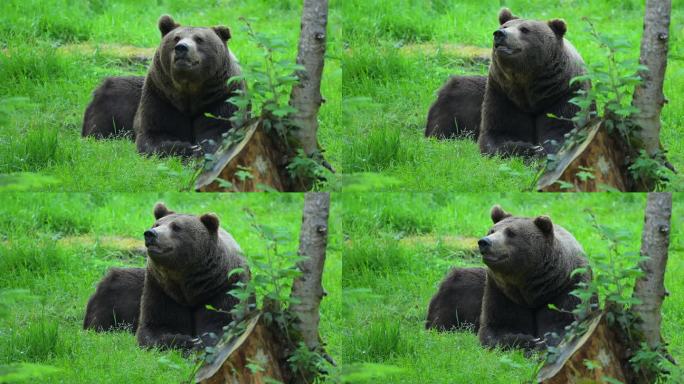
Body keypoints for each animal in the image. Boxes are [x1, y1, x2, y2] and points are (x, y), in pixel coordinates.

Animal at [135, 204, 250, 352]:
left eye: (176, 227)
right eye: (156, 224)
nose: (151, 233)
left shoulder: (225, 288)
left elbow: (221, 325)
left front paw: (198, 343)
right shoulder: (161, 289)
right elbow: (153, 327)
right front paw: (186, 341)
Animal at [476, 9, 588, 158]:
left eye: (524, 29)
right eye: (505, 26)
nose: (499, 34)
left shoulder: (566, 94)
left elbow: (561, 132)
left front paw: (540, 150)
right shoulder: (503, 94)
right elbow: (497, 133)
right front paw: (528, 148)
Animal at [476, 207, 588, 352]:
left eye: (511, 233)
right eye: (492, 231)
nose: (484, 242)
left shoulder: (568, 288)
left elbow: (563, 325)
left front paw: (541, 343)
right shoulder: (502, 292)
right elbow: (495, 328)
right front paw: (528, 340)